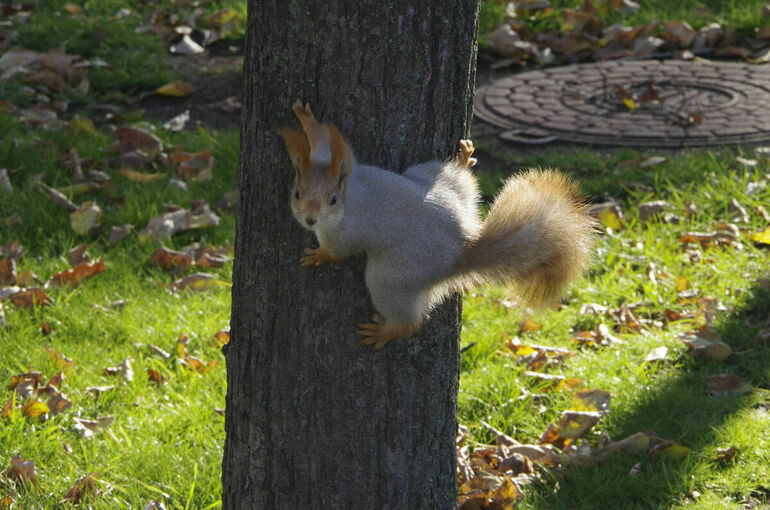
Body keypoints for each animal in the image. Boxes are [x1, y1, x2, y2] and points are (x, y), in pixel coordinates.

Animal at [276, 101, 592, 352]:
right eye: (297, 193)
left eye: (332, 200)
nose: (310, 220)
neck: (349, 196)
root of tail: (460, 253)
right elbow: (321, 142)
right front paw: (306, 119)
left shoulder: (343, 233)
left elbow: (337, 251)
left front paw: (318, 256)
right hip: (435, 177)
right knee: (461, 179)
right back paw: (463, 161)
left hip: (390, 277)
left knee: (410, 319)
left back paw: (386, 331)